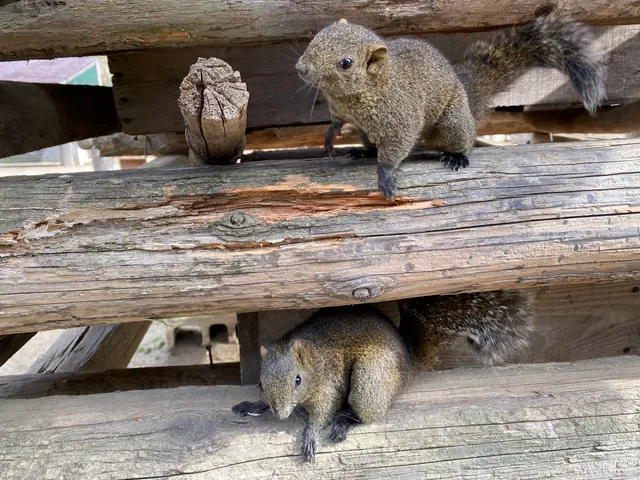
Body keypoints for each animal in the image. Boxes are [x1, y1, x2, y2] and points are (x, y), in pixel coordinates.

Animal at [232, 290, 534, 461]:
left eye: (298, 380)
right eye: (260, 383)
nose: (281, 415)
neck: (314, 362)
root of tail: (408, 362)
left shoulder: (329, 384)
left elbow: (324, 410)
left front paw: (310, 434)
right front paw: (253, 405)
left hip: (371, 376)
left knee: (369, 413)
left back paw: (345, 422)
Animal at [295, 15, 606, 200]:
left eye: (345, 63)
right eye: (318, 36)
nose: (300, 67)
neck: (352, 95)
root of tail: (466, 98)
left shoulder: (400, 120)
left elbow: (394, 151)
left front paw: (385, 177)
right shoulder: (340, 109)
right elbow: (336, 120)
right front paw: (330, 134)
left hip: (451, 123)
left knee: (464, 141)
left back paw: (456, 157)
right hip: (366, 131)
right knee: (370, 143)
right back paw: (362, 151)